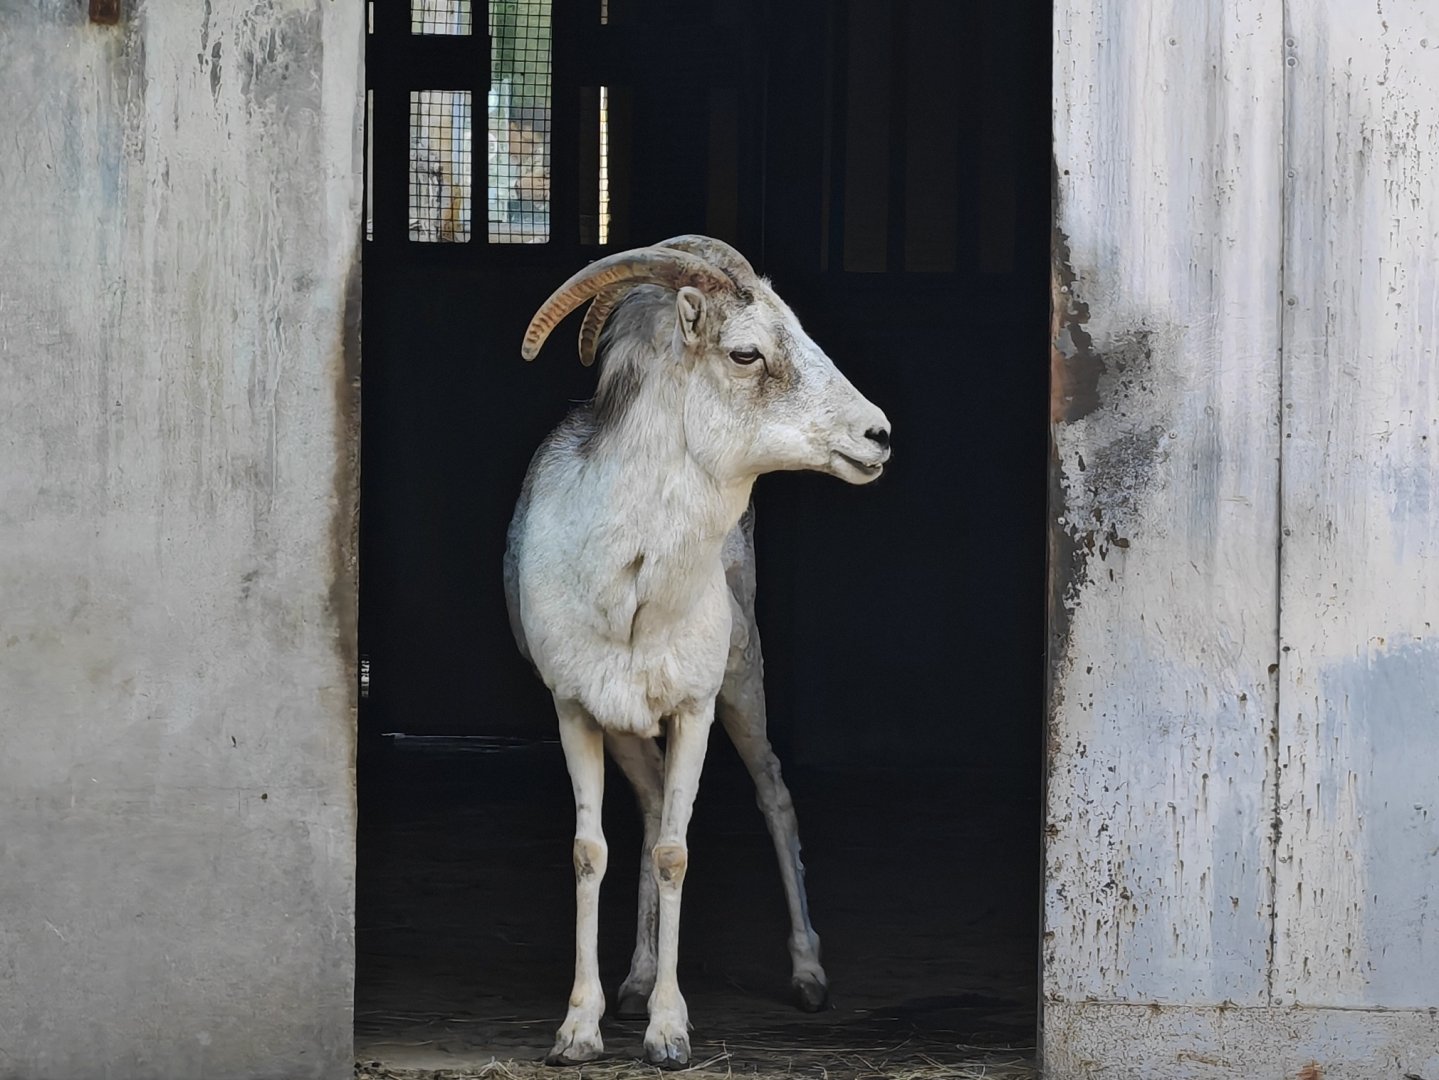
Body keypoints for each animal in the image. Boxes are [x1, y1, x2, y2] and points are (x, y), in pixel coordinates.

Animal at [504, 235, 890, 1066]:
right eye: (745, 353)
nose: (877, 436)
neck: (629, 586)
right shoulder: (577, 712)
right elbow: (593, 850)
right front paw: (578, 1031)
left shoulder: (694, 710)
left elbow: (676, 853)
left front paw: (668, 1035)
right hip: (630, 730)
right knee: (651, 811)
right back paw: (633, 984)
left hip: (744, 688)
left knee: (773, 795)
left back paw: (807, 978)